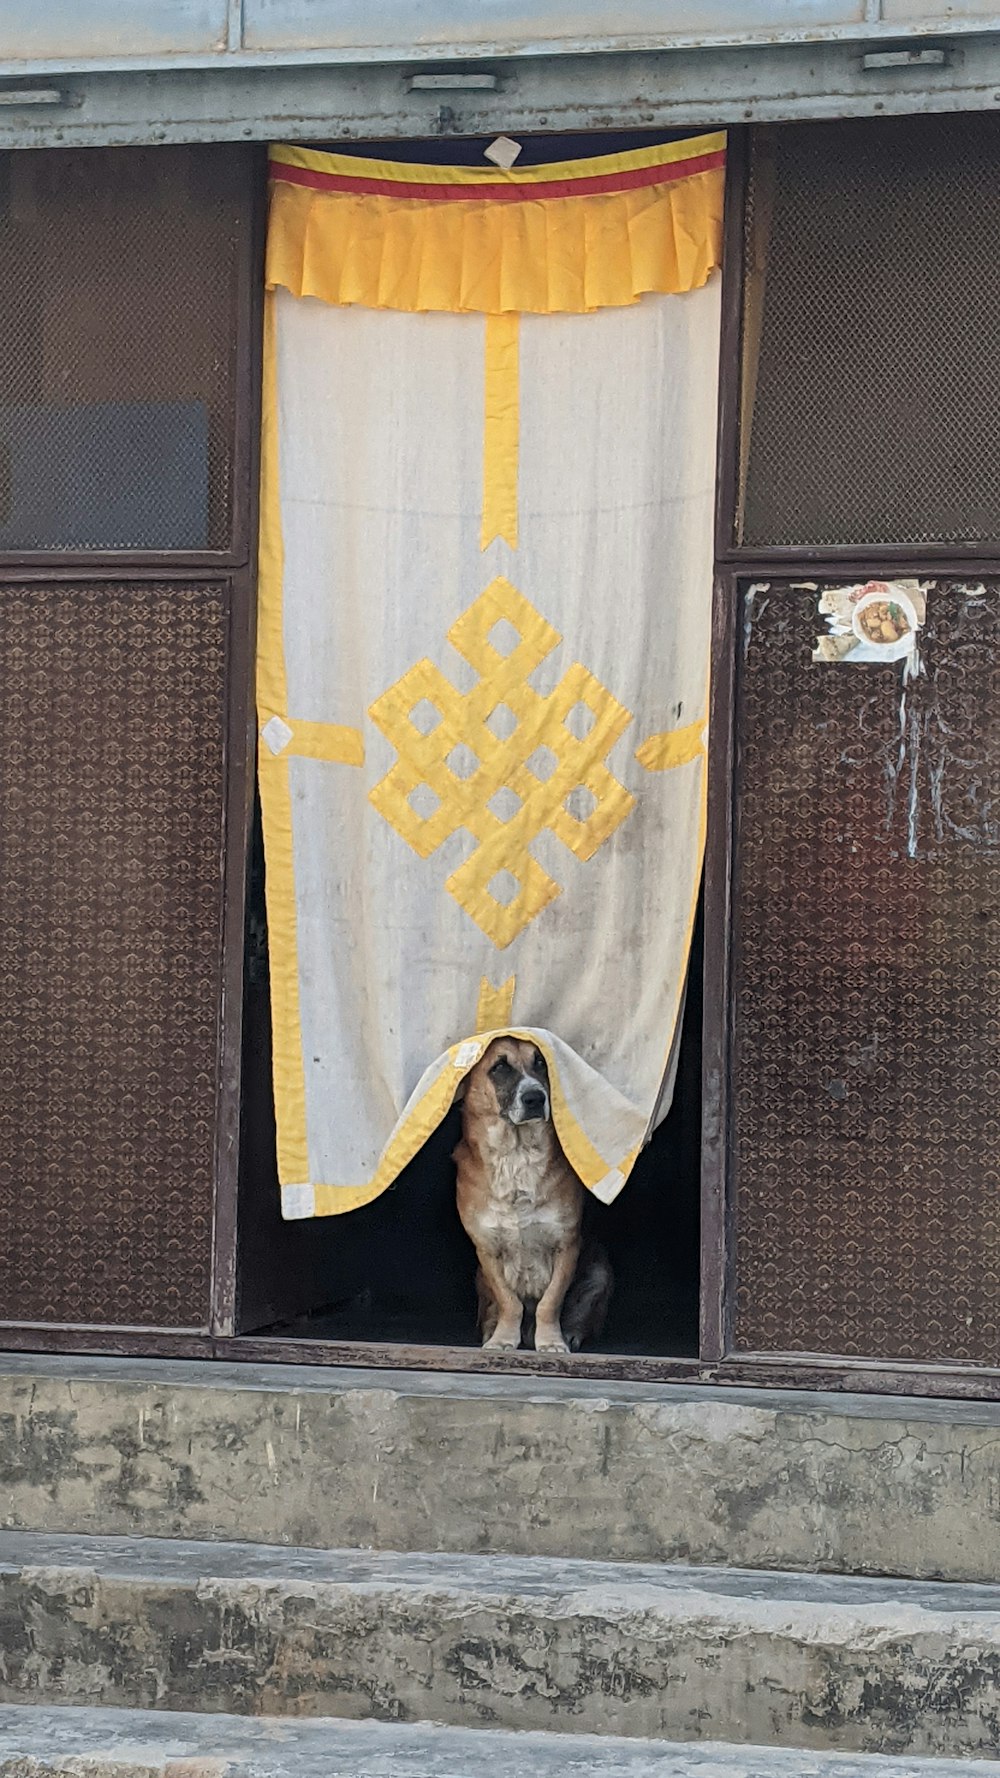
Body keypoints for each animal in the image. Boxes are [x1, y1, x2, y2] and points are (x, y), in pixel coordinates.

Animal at [451, 1038, 608, 1351]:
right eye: (500, 1067)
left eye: (540, 1062)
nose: (535, 1097)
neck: (516, 1156)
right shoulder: (487, 1251)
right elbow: (509, 1302)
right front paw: (502, 1339)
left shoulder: (566, 1245)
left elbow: (550, 1302)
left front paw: (551, 1341)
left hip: (599, 1275)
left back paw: (571, 1332)